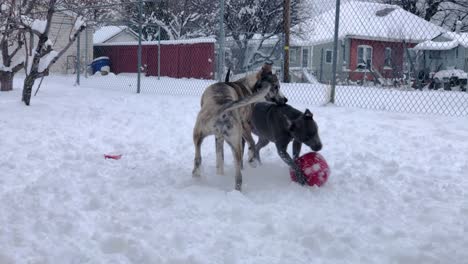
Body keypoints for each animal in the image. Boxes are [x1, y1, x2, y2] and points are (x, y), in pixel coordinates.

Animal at [192, 62, 288, 190]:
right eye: (276, 87)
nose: (285, 100)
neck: (248, 86)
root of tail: (223, 107)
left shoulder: (220, 138)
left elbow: (220, 160)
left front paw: (220, 174)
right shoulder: (243, 126)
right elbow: (249, 144)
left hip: (204, 137)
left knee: (199, 161)